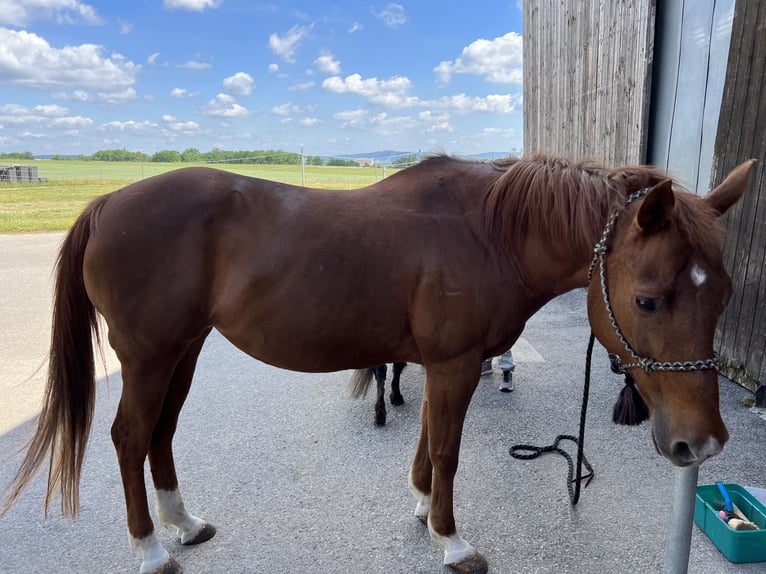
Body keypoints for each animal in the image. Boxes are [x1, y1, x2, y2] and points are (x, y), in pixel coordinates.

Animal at [1, 153, 754, 574]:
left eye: (723, 293)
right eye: (649, 300)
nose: (702, 444)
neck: (490, 232)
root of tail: (107, 204)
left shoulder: (437, 365)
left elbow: (425, 441)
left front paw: (422, 508)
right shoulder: (454, 364)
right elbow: (448, 450)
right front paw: (452, 541)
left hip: (182, 353)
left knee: (160, 436)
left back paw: (184, 526)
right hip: (151, 357)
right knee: (130, 438)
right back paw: (152, 550)